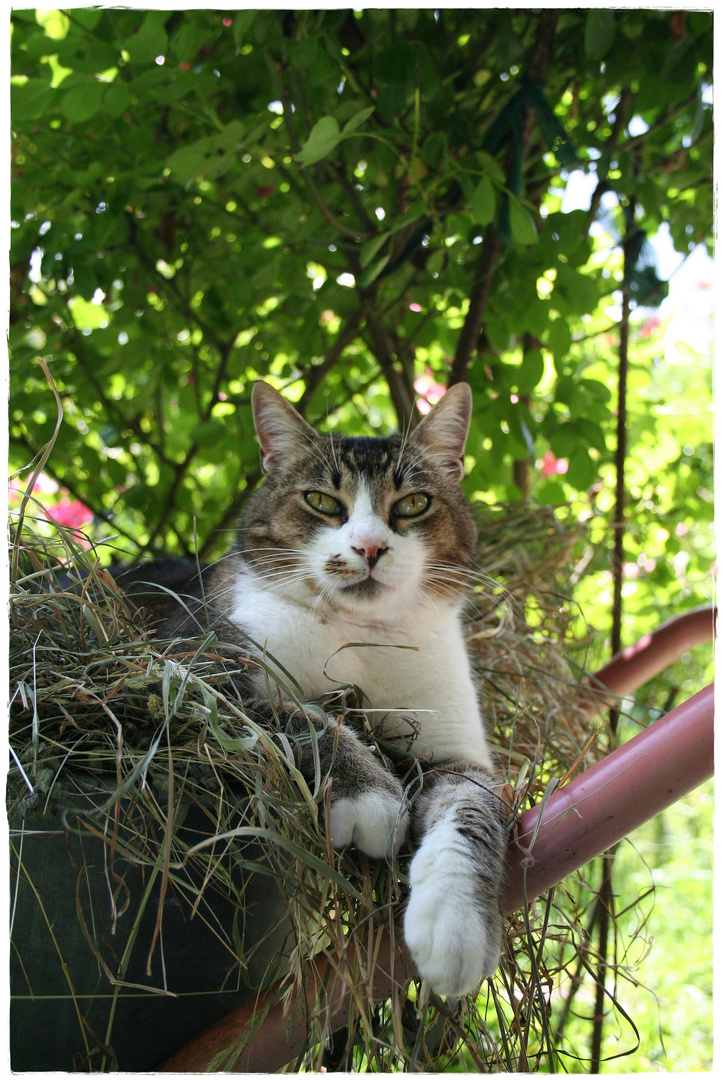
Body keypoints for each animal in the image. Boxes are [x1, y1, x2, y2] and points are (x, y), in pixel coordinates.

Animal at [126, 380, 505, 993]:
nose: (370, 548)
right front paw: (371, 794)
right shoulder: (173, 667)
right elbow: (299, 715)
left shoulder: (456, 753)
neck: (362, 637)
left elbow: (471, 806)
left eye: (413, 504)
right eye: (323, 502)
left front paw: (455, 925)